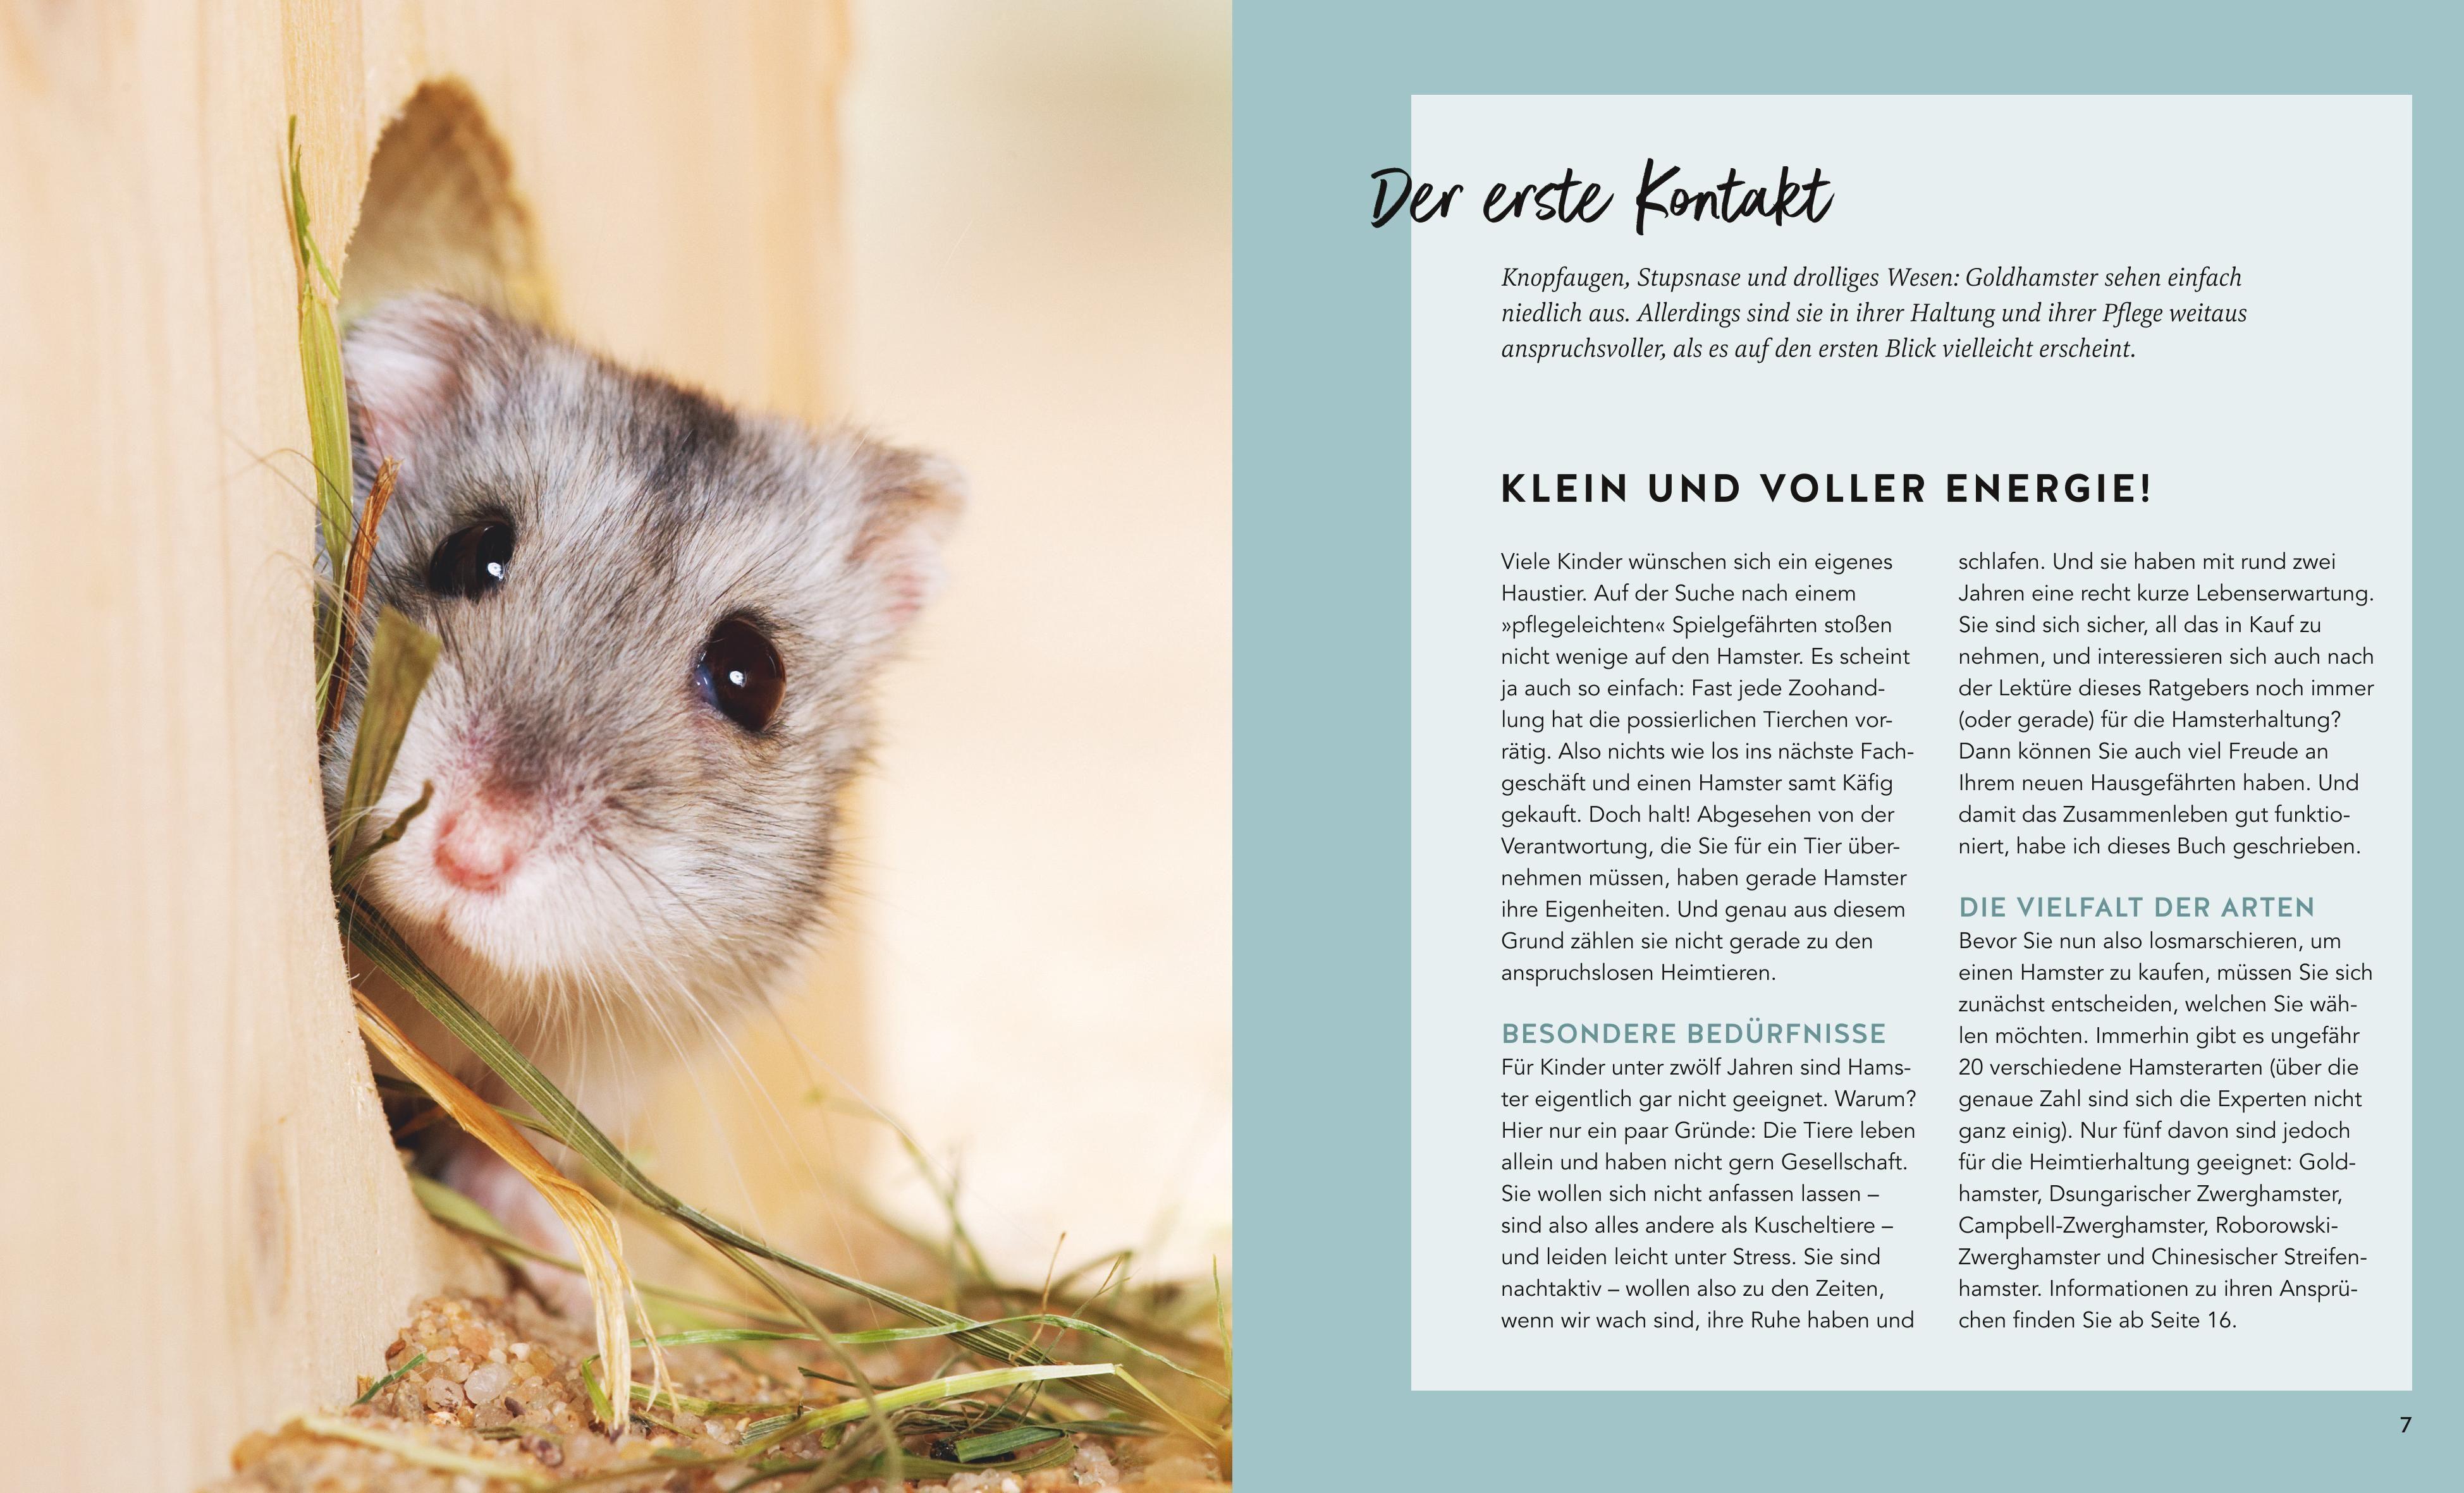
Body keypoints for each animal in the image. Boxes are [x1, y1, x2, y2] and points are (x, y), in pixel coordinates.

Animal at [326, 293, 958, 1270]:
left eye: (752, 676)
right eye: (472, 552)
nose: (470, 853)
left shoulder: (613, 1050)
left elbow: (521, 1143)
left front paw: (554, 1253)